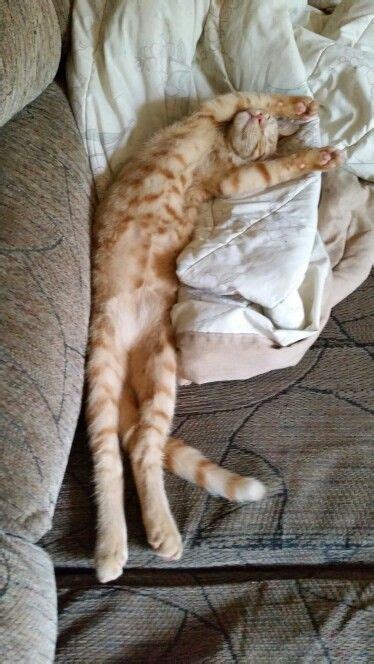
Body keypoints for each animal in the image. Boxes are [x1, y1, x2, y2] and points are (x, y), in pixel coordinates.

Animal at [87, 93, 344, 580]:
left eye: (265, 135)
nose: (261, 123)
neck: (220, 146)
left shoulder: (231, 180)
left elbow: (271, 168)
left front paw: (307, 150)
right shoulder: (216, 108)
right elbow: (250, 95)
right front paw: (299, 109)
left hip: (159, 368)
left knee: (140, 447)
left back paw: (156, 531)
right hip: (103, 366)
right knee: (112, 455)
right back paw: (113, 547)